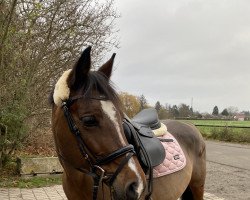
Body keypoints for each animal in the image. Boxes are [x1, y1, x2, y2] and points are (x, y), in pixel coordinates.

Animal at [49, 46, 206, 199]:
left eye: (121, 117)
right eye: (88, 120)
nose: (136, 186)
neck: (79, 178)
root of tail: (191, 126)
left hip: (197, 187)